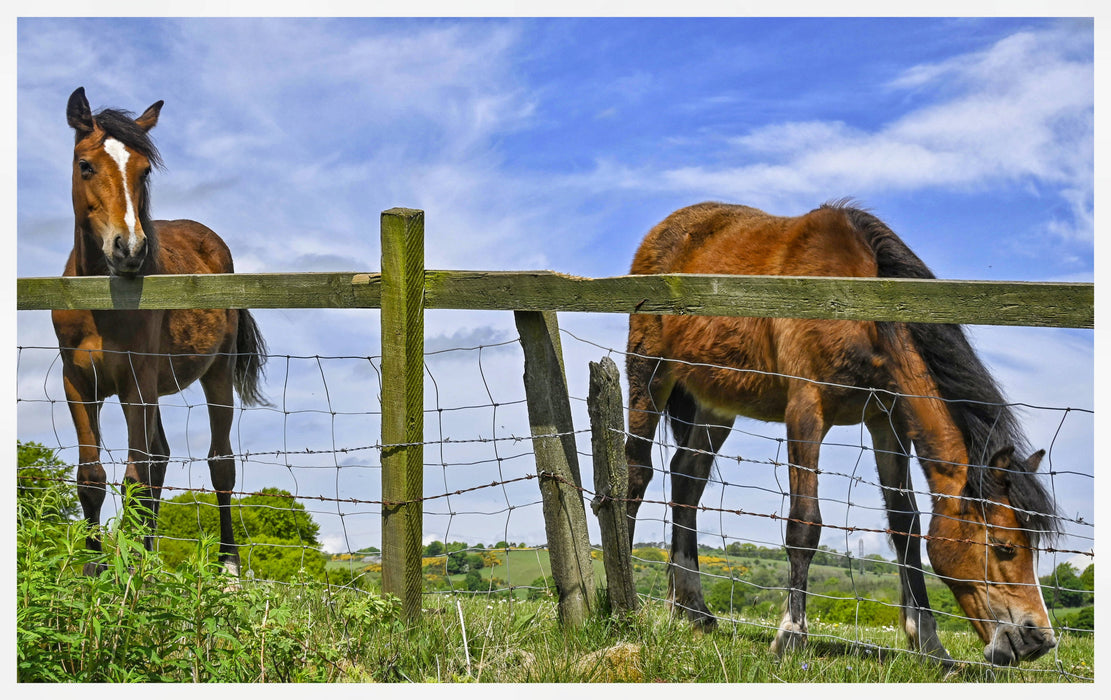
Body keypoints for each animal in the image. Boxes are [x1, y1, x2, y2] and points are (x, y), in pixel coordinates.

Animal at [53, 87, 267, 577]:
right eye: (85, 165)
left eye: (144, 170)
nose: (129, 248)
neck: (100, 302)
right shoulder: (79, 385)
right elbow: (92, 477)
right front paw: (93, 572)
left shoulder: (136, 383)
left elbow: (135, 477)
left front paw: (129, 577)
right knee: (162, 459)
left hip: (215, 374)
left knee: (219, 464)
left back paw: (228, 568)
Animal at [626, 203, 1057, 671]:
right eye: (1004, 547)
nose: (1038, 639)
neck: (861, 309)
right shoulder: (805, 410)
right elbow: (805, 525)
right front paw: (790, 636)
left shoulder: (888, 421)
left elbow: (906, 526)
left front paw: (928, 644)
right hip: (649, 372)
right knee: (636, 472)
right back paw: (625, 599)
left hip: (715, 404)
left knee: (687, 479)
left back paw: (691, 609)